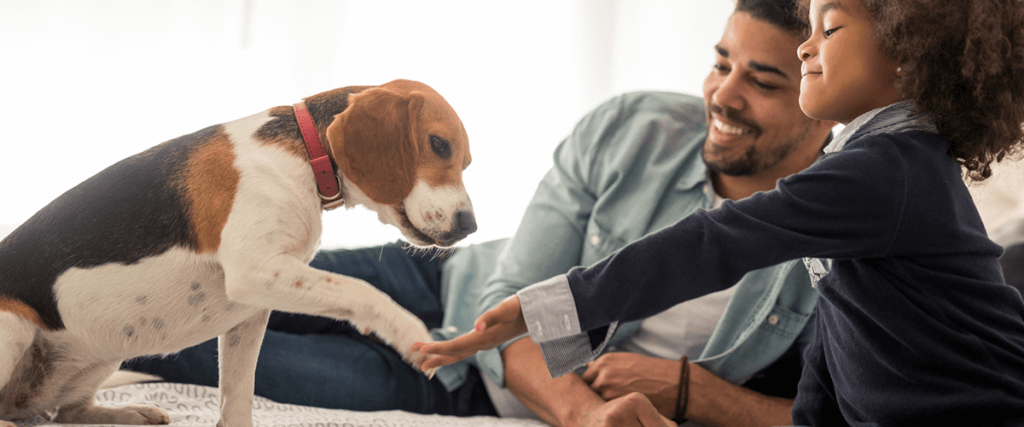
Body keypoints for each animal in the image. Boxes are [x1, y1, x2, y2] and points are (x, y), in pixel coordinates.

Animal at [0, 79, 475, 425]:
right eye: (439, 145)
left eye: (466, 163)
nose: (470, 225)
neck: (306, 155)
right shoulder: (255, 271)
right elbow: (362, 290)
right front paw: (412, 334)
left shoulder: (250, 312)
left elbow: (238, 394)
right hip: (15, 326)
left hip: (105, 346)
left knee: (65, 413)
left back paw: (130, 412)